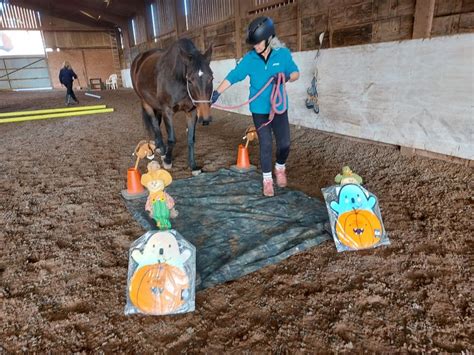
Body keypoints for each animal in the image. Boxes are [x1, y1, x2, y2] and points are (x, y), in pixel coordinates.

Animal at [131, 39, 213, 175]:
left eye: (211, 78)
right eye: (190, 80)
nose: (205, 119)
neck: (178, 78)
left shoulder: (192, 112)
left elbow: (191, 139)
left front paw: (193, 166)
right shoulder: (167, 111)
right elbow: (171, 138)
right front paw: (168, 161)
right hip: (146, 102)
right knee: (154, 124)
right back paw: (162, 150)